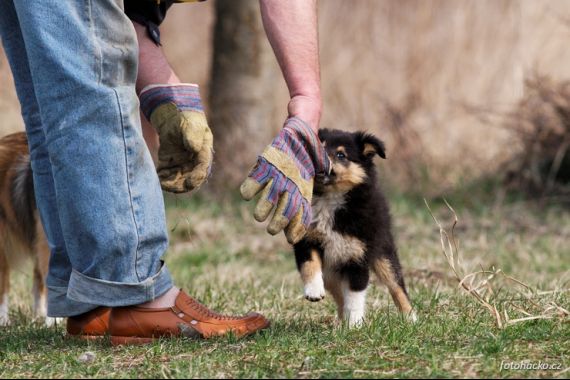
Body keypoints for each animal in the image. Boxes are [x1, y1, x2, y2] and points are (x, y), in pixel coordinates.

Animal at [292, 128, 412, 326]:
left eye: (341, 155)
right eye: (319, 146)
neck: (329, 198)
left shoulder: (358, 255)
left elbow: (355, 295)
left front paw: (355, 324)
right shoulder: (306, 239)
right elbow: (309, 264)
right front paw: (313, 291)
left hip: (383, 253)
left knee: (396, 285)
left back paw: (411, 318)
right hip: (331, 272)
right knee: (339, 296)